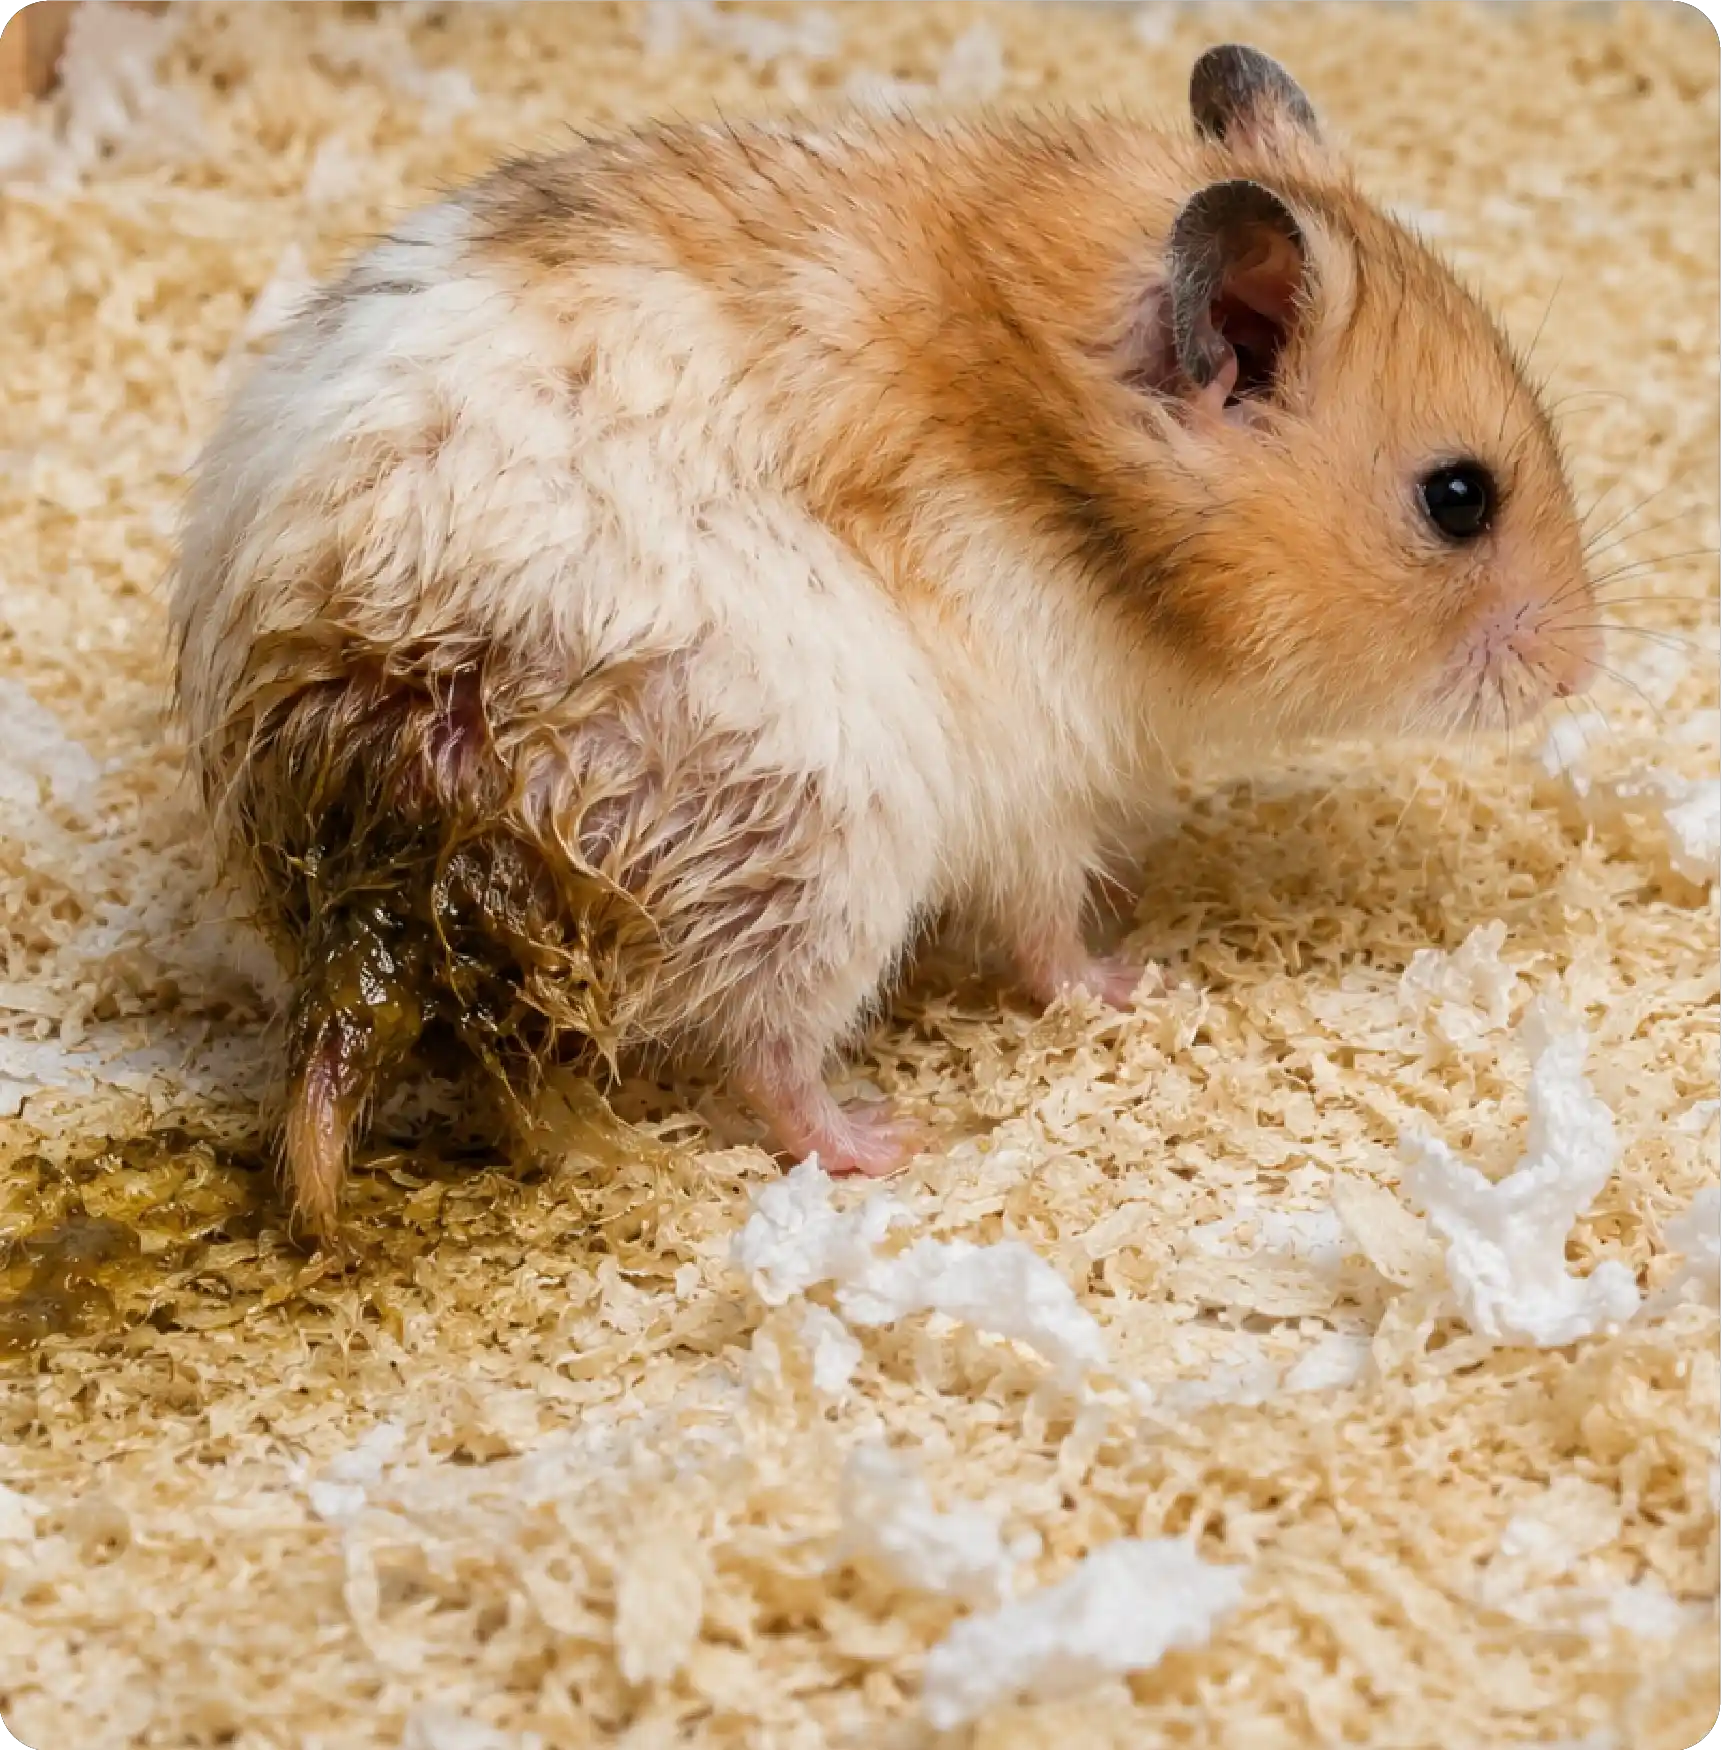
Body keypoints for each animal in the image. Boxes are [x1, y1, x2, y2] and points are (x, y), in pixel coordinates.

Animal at [168, 45, 1600, 1242]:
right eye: (1457, 499)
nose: (1582, 669)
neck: (1076, 490)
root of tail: (390, 830)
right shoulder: (1040, 775)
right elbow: (1045, 930)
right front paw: (1131, 980)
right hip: (822, 851)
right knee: (765, 1051)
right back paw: (885, 1142)